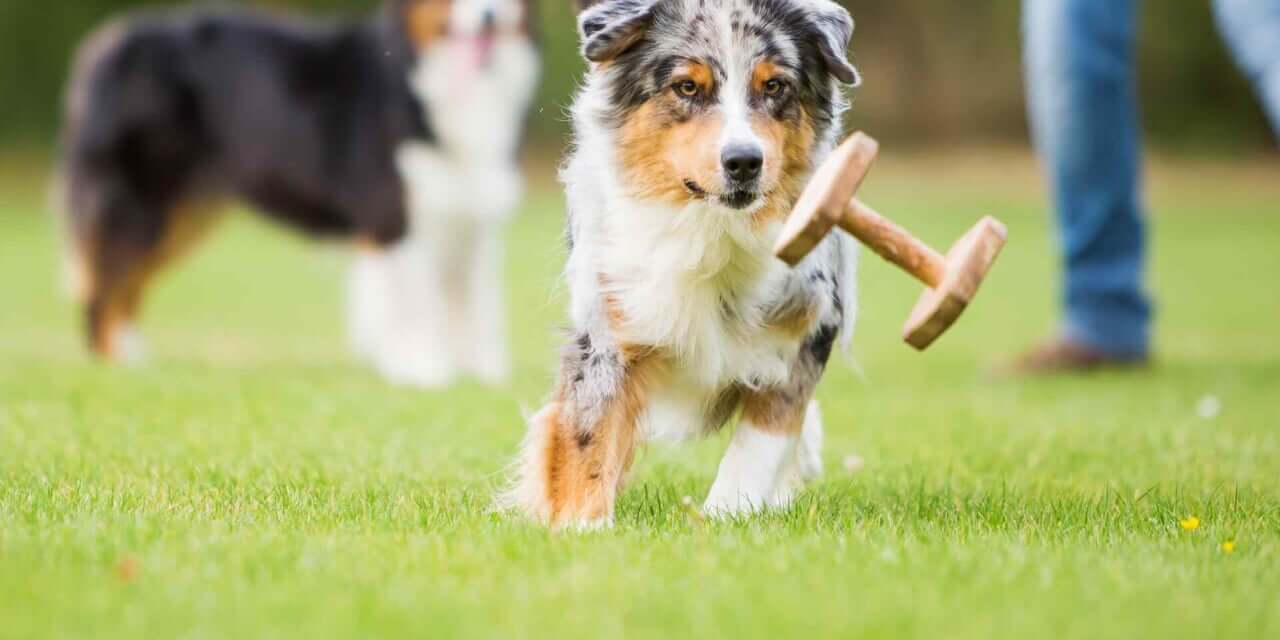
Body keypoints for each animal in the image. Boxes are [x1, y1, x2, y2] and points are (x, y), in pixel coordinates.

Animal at [58, 0, 540, 384]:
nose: (489, 17)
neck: (417, 75)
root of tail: (110, 41)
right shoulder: (396, 220)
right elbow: (416, 305)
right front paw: (424, 371)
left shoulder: (471, 219)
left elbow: (479, 306)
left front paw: (483, 375)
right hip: (141, 201)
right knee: (103, 287)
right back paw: (117, 365)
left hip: (183, 216)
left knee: (125, 284)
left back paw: (134, 357)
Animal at [506, 0, 860, 529]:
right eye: (687, 87)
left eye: (775, 86)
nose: (744, 162)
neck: (710, 230)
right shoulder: (608, 326)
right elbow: (591, 435)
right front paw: (583, 528)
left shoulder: (804, 326)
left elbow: (763, 437)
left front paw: (727, 514)